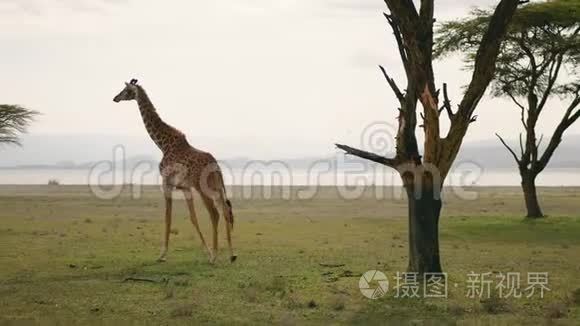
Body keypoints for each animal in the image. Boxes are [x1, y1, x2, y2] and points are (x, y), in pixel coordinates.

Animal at [113, 79, 236, 264]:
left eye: (126, 90)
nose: (115, 98)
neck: (163, 144)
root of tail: (216, 166)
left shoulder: (166, 182)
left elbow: (167, 217)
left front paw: (162, 254)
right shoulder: (185, 187)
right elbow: (193, 218)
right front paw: (206, 251)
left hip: (203, 188)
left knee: (215, 214)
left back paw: (215, 257)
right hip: (216, 187)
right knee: (226, 210)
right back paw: (231, 255)